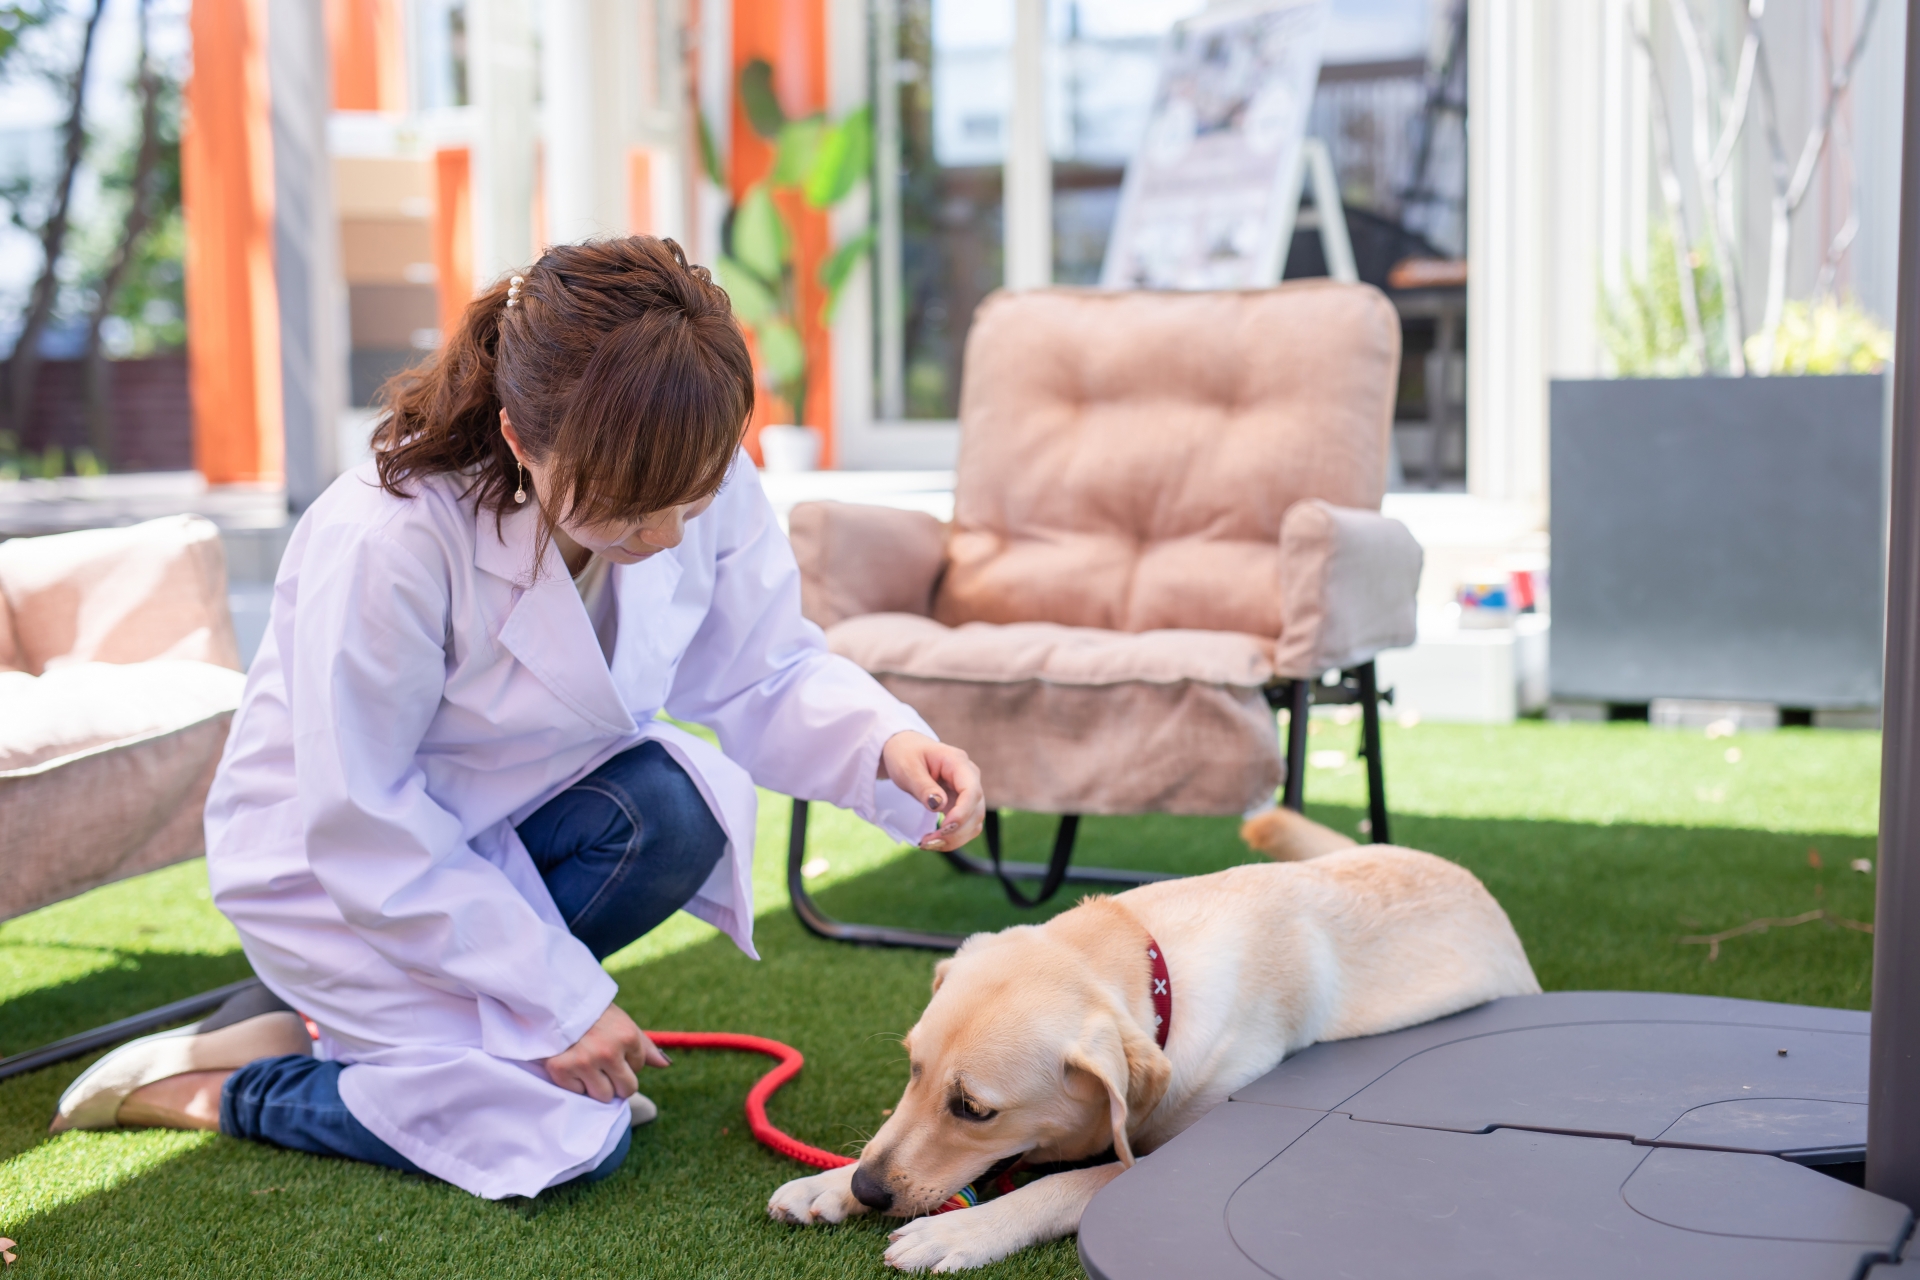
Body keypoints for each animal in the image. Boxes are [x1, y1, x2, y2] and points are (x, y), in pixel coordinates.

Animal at [771, 809, 1536, 1274]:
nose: (867, 1189)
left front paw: (961, 1230)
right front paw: (829, 1182)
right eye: (911, 1070)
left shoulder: (1175, 1142)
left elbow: (1072, 1182)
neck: (1149, 964)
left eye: (975, 1110)